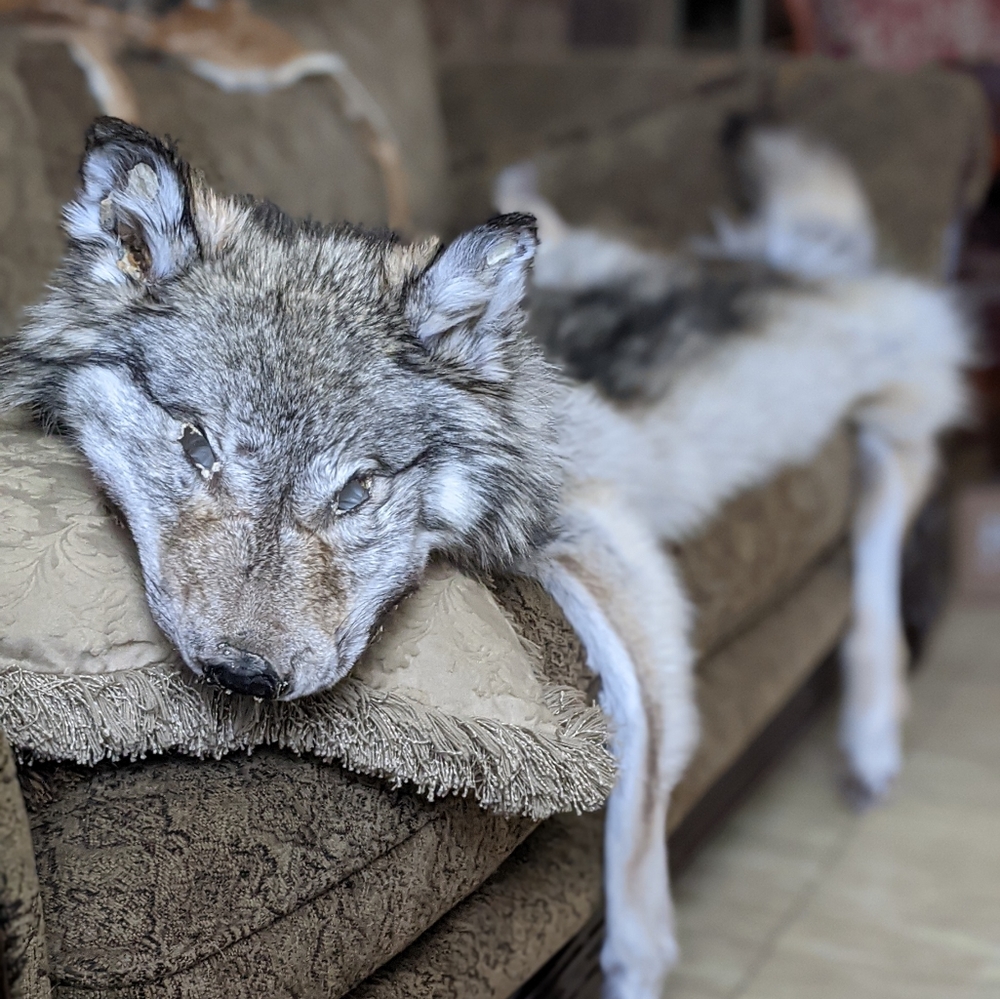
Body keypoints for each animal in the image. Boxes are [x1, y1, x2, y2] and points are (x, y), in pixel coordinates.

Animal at [0, 117, 969, 998]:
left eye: (357, 488)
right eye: (196, 445)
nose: (243, 678)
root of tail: (770, 262)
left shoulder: (600, 528)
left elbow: (649, 751)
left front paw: (639, 954)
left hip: (888, 402)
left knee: (889, 514)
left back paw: (874, 726)